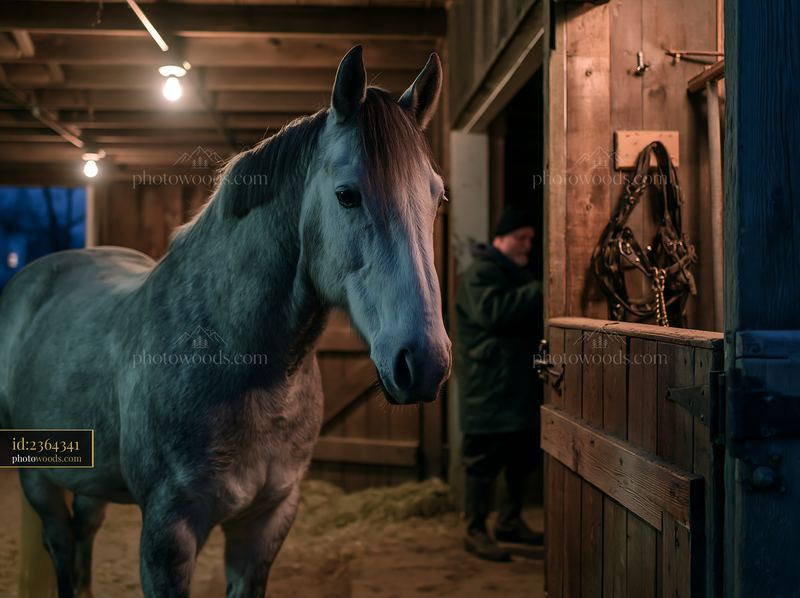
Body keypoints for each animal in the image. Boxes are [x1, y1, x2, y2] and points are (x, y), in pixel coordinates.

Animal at [0, 45, 451, 597]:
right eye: (347, 194)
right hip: (39, 480)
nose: (424, 362)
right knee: (63, 546)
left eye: (437, 196)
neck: (241, 363)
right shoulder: (167, 535)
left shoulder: (266, 524)